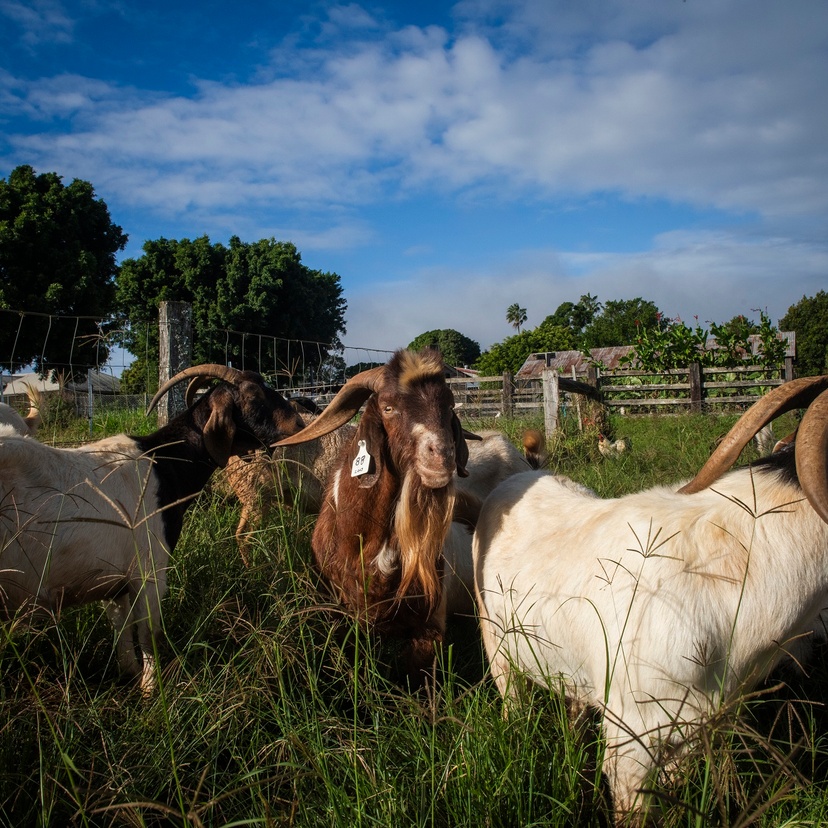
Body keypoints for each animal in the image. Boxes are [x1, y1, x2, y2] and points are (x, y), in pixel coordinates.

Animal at [0, 364, 305, 694]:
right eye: (252, 394)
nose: (299, 423)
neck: (163, 461)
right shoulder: (149, 570)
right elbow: (149, 634)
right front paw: (151, 690)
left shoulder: (114, 580)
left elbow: (121, 626)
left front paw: (131, 674)